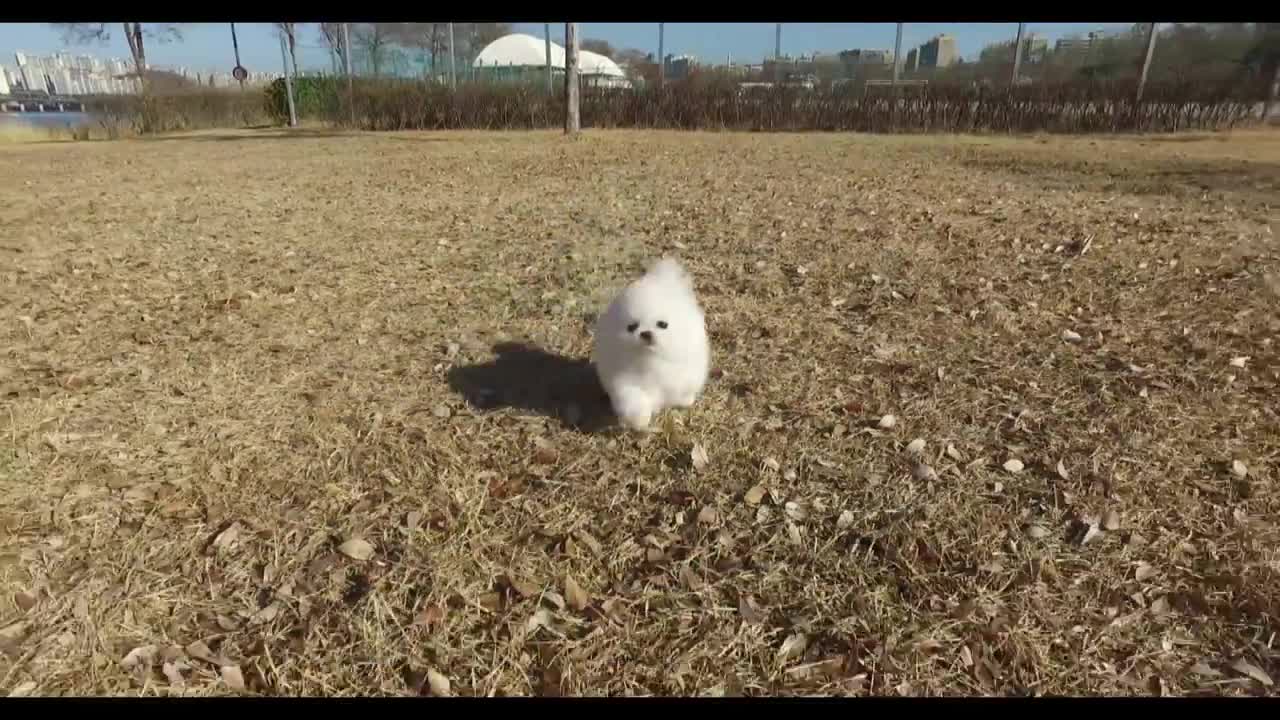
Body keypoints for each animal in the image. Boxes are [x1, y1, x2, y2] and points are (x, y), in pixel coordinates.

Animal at [596, 256, 716, 427]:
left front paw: (685, 401)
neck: (651, 360)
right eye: (632, 327)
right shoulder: (625, 382)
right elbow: (633, 401)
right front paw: (640, 420)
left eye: (662, 324)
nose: (646, 333)